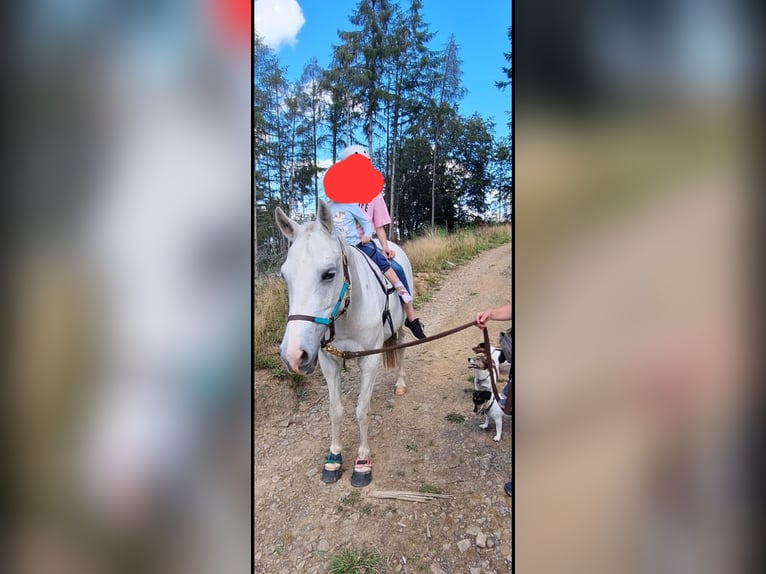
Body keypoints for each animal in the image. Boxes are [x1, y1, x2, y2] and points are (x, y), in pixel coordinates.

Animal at [275, 199, 412, 487]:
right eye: (284, 276)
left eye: (329, 274)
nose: (292, 355)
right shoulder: (328, 361)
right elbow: (335, 410)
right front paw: (334, 458)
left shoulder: (370, 360)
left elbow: (361, 410)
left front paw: (362, 463)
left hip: (402, 323)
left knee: (402, 345)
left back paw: (400, 383)